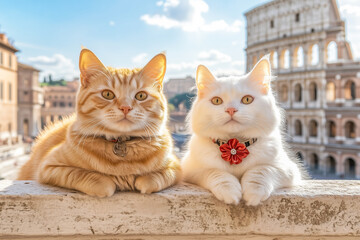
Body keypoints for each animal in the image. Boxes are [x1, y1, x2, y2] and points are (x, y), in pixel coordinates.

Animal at [17, 48, 181, 197]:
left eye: (141, 96)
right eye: (107, 94)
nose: (126, 107)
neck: (121, 145)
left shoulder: (175, 167)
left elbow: (151, 180)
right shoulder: (49, 167)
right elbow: (96, 181)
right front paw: (113, 181)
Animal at [183, 56, 304, 206]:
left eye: (247, 99)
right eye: (217, 101)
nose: (231, 110)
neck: (234, 145)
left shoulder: (287, 168)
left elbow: (261, 170)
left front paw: (253, 193)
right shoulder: (191, 169)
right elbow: (216, 172)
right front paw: (230, 192)